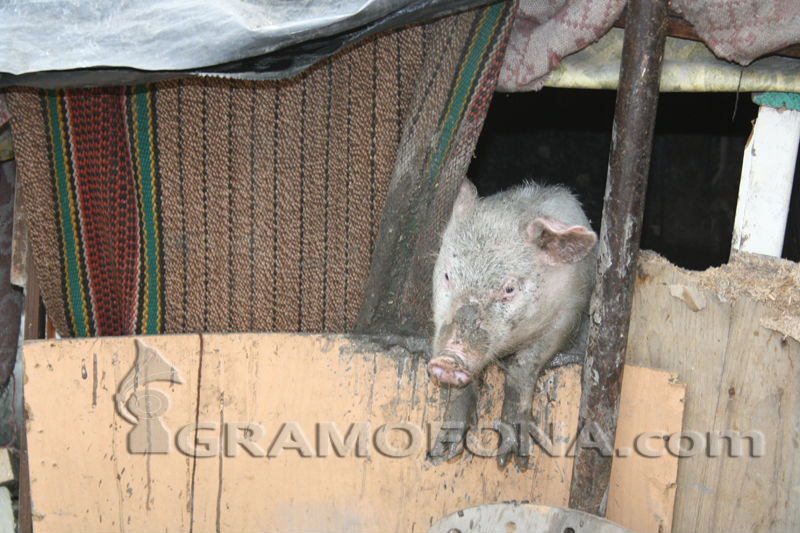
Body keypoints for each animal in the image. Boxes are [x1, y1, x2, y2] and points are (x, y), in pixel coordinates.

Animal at [432, 181, 592, 468]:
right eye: (448, 275)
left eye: (509, 288)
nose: (448, 360)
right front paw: (444, 452)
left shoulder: (569, 312)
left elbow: (525, 365)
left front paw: (513, 460)